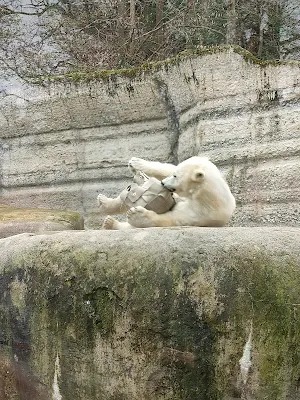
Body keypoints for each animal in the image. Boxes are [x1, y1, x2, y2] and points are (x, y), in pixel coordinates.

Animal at [97, 157, 236, 230]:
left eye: (175, 176)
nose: (163, 183)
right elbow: (167, 168)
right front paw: (136, 164)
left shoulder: (200, 211)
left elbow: (171, 218)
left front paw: (136, 214)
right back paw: (103, 202)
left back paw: (111, 223)